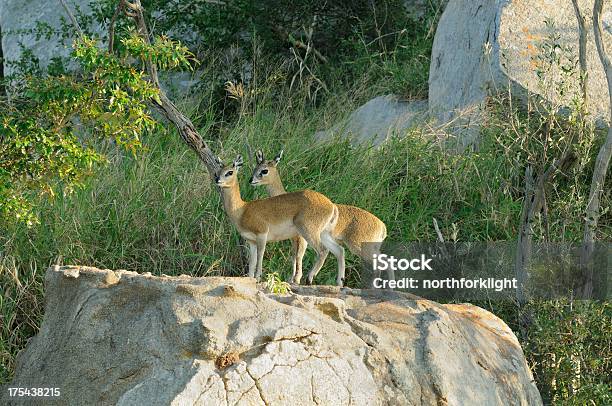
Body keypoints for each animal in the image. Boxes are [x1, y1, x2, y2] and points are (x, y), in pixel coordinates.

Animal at [215, 155, 350, 286]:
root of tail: (331, 205)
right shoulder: (251, 241)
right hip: (323, 234)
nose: (217, 180)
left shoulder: (262, 235)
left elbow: (260, 255)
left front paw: (259, 277)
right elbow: (252, 262)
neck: (242, 209)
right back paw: (339, 282)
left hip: (308, 232)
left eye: (230, 172)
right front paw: (251, 278)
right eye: (218, 171)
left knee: (323, 251)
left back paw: (309, 279)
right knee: (339, 250)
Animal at [249, 150, 392, 286]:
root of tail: (382, 227)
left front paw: (296, 279)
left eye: (264, 170)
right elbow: (294, 256)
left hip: (357, 245)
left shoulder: (300, 238)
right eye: (255, 167)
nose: (251, 180)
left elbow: (298, 256)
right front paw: (291, 279)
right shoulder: (294, 239)